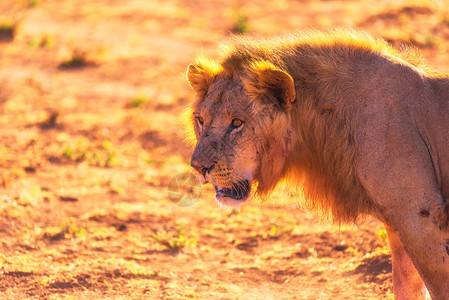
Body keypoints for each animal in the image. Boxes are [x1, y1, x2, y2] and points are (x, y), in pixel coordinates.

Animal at [185, 28, 448, 300]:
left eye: (237, 123)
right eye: (200, 119)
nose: (198, 167)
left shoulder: (418, 214)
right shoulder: (399, 225)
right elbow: (406, 286)